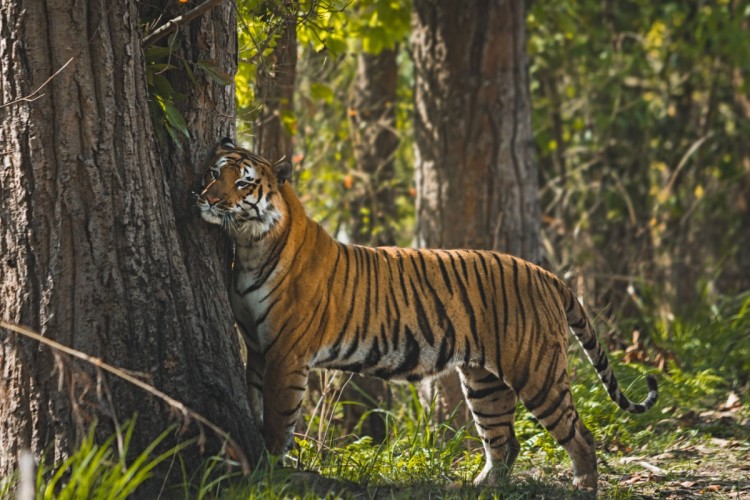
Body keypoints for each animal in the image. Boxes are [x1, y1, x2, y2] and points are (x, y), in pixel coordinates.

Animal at [196, 138, 658, 492]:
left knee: (581, 436)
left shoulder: (287, 354)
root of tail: (547, 274)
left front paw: (268, 473)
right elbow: (256, 404)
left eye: (243, 182)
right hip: (484, 382)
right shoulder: (258, 349)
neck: (251, 246)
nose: (207, 200)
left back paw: (583, 487)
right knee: (504, 441)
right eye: (213, 173)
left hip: (537, 373)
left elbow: (277, 421)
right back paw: (481, 488)